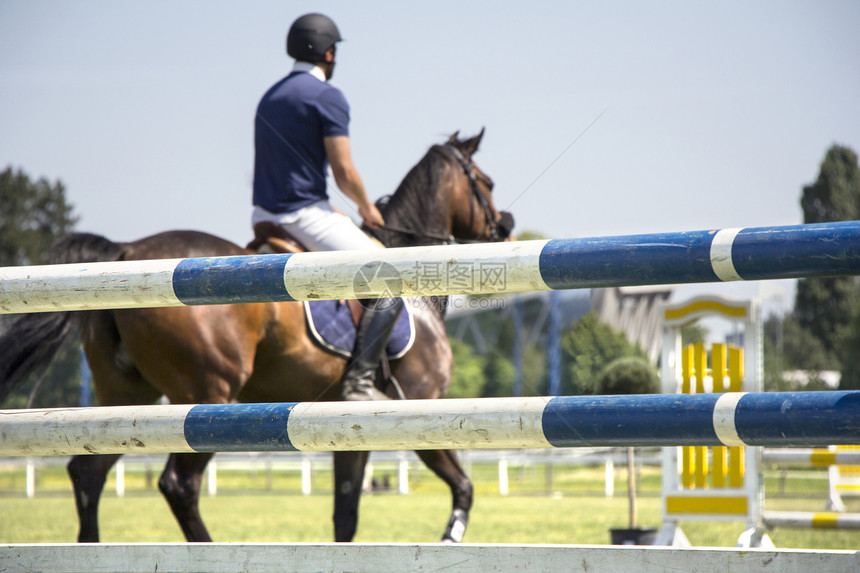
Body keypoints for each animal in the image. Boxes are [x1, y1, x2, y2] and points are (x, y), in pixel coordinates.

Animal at [0, 128, 510, 540]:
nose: (505, 227)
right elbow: (464, 488)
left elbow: (345, 516)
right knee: (178, 485)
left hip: (124, 401)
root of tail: (126, 252)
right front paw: (449, 538)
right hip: (210, 398)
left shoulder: (348, 429)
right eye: (485, 182)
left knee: (87, 474)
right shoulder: (423, 410)